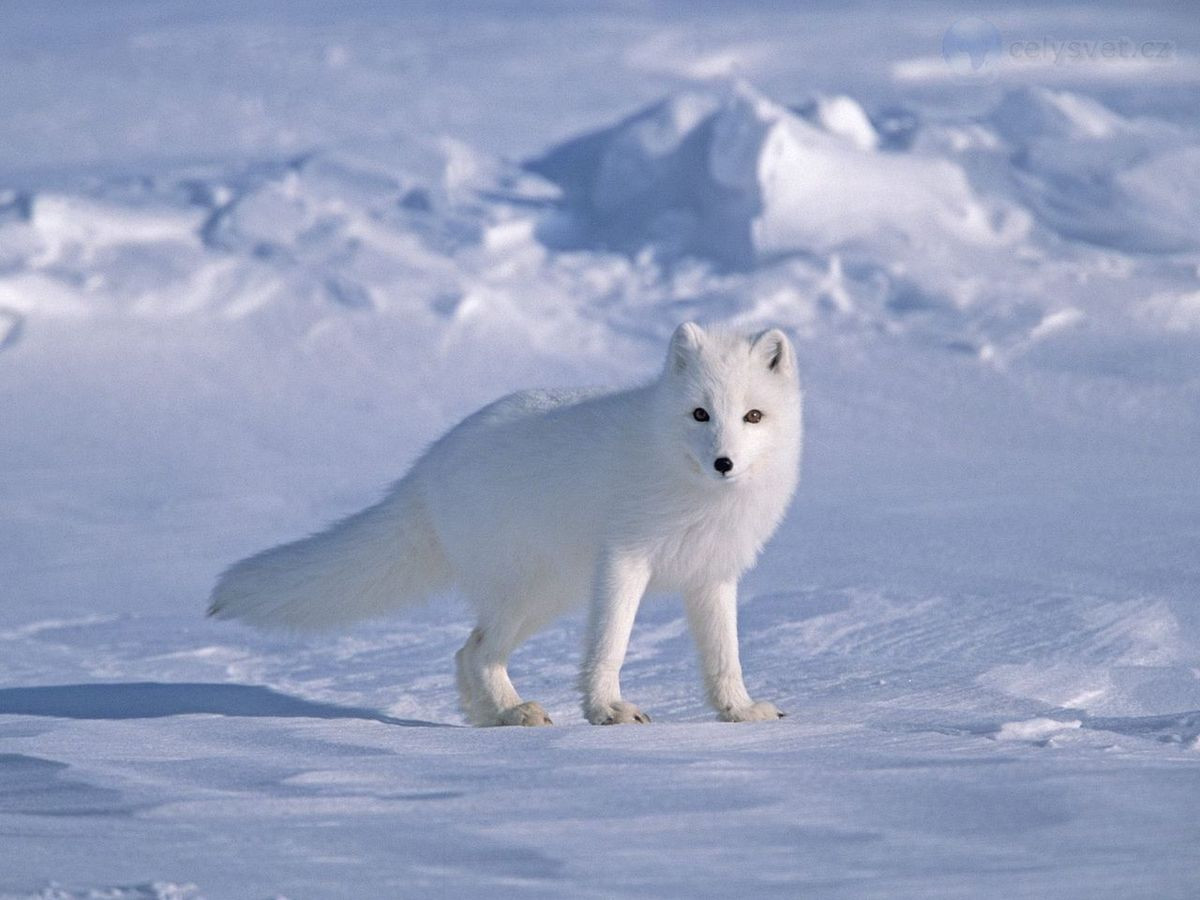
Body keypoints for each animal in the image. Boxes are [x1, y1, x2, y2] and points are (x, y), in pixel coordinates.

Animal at [210, 324, 801, 724]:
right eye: (700, 414)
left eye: (752, 416)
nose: (724, 462)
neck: (693, 490)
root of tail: (426, 468)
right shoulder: (624, 561)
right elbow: (609, 644)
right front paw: (607, 710)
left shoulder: (713, 575)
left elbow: (725, 656)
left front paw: (739, 711)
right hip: (529, 592)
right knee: (476, 650)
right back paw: (513, 712)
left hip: (546, 596)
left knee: (466, 651)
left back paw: (491, 716)